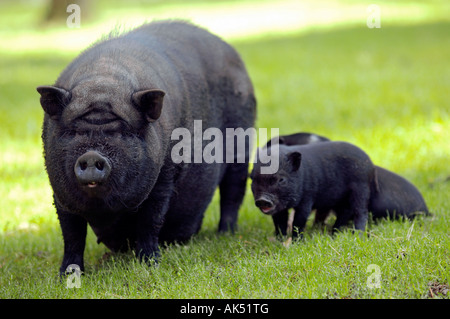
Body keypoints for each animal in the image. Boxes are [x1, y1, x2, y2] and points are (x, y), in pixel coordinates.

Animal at [37, 20, 256, 276]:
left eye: (123, 132)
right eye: (73, 132)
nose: (91, 155)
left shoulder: (164, 175)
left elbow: (151, 221)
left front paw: (150, 264)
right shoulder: (58, 190)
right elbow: (72, 233)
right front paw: (67, 275)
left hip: (242, 142)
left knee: (232, 191)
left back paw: (225, 234)